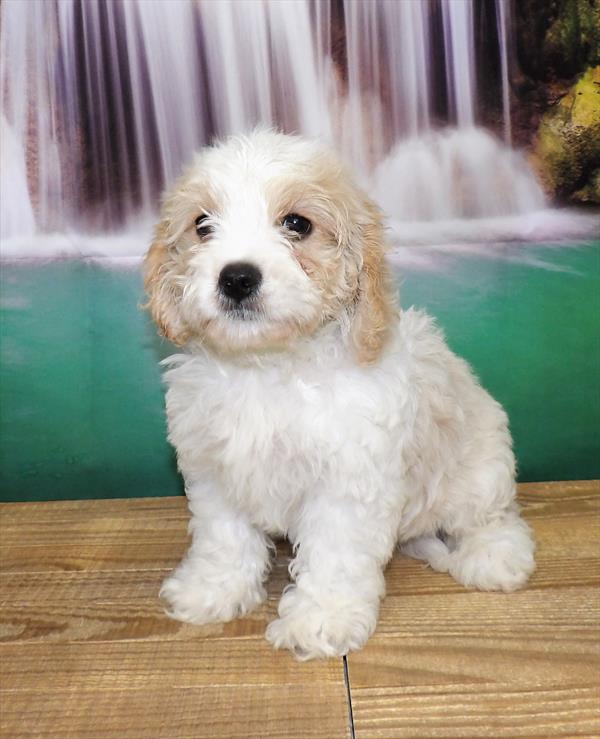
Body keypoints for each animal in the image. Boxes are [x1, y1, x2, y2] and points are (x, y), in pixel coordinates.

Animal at [144, 129, 536, 660]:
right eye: (203, 225)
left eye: (297, 224)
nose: (237, 277)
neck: (267, 366)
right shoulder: (214, 471)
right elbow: (224, 537)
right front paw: (213, 589)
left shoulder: (347, 484)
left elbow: (334, 556)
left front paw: (321, 619)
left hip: (480, 472)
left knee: (494, 518)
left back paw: (495, 558)